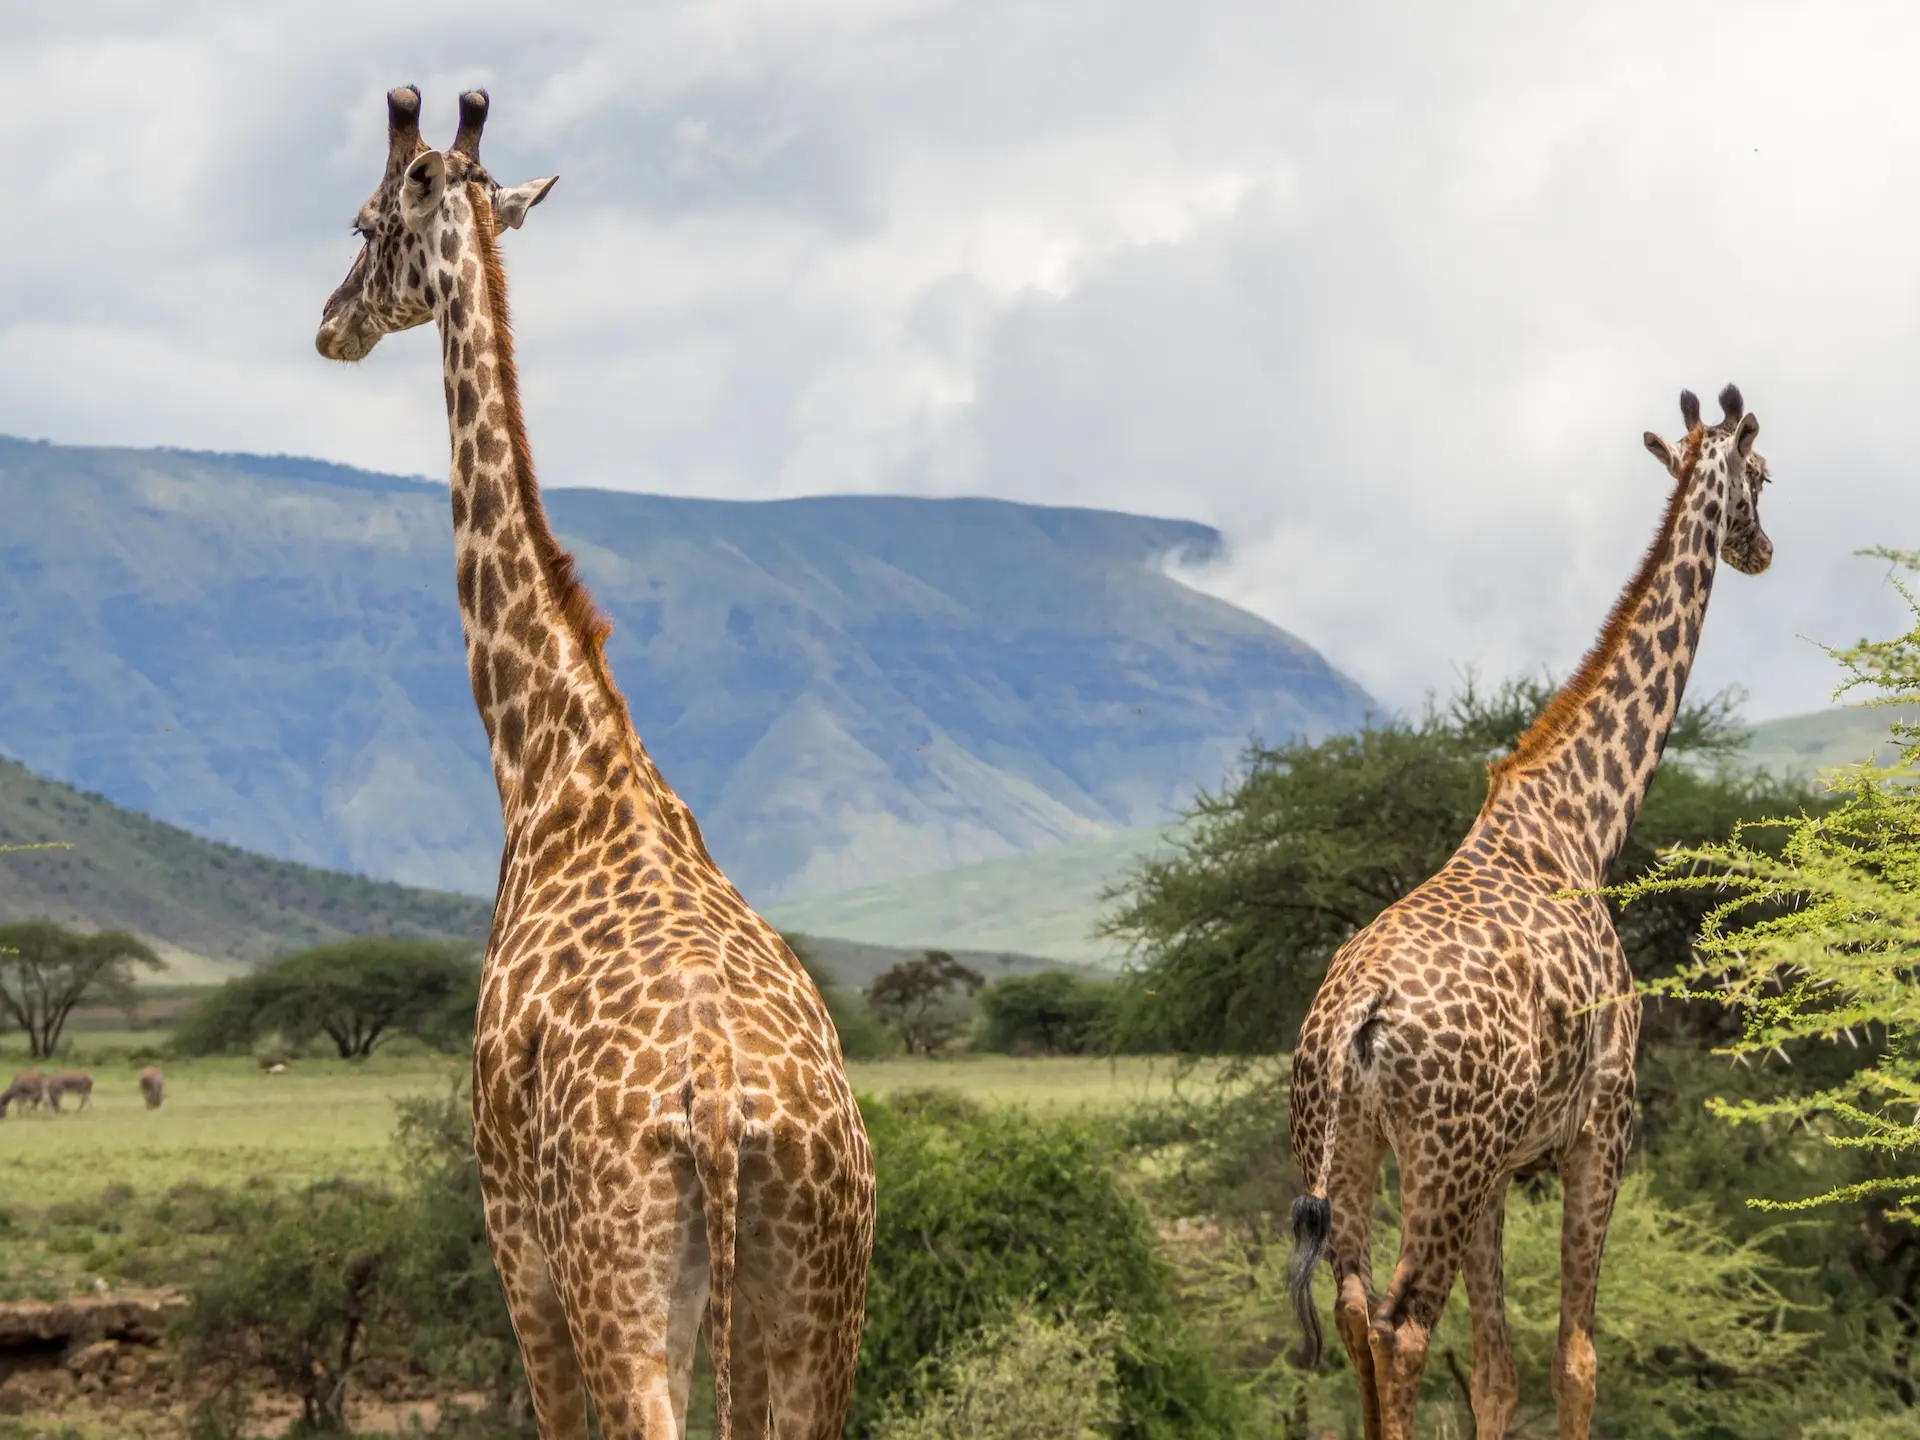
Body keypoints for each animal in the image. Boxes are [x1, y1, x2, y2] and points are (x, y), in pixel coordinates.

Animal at [315, 88, 875, 1440]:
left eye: (365, 220)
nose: (327, 325)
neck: (554, 756)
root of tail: (724, 1112)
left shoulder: (510, 1228)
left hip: (618, 1283)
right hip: (816, 1298)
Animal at [1284, 386, 1773, 1440]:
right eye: (1762, 474)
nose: (1761, 548)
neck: (1583, 824)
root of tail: (1353, 1019)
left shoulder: (1508, 1162)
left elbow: (1499, 1373)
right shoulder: (1605, 1124)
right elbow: (1576, 1359)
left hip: (1350, 1150)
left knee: (1354, 1317)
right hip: (1445, 1157)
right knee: (1402, 1328)